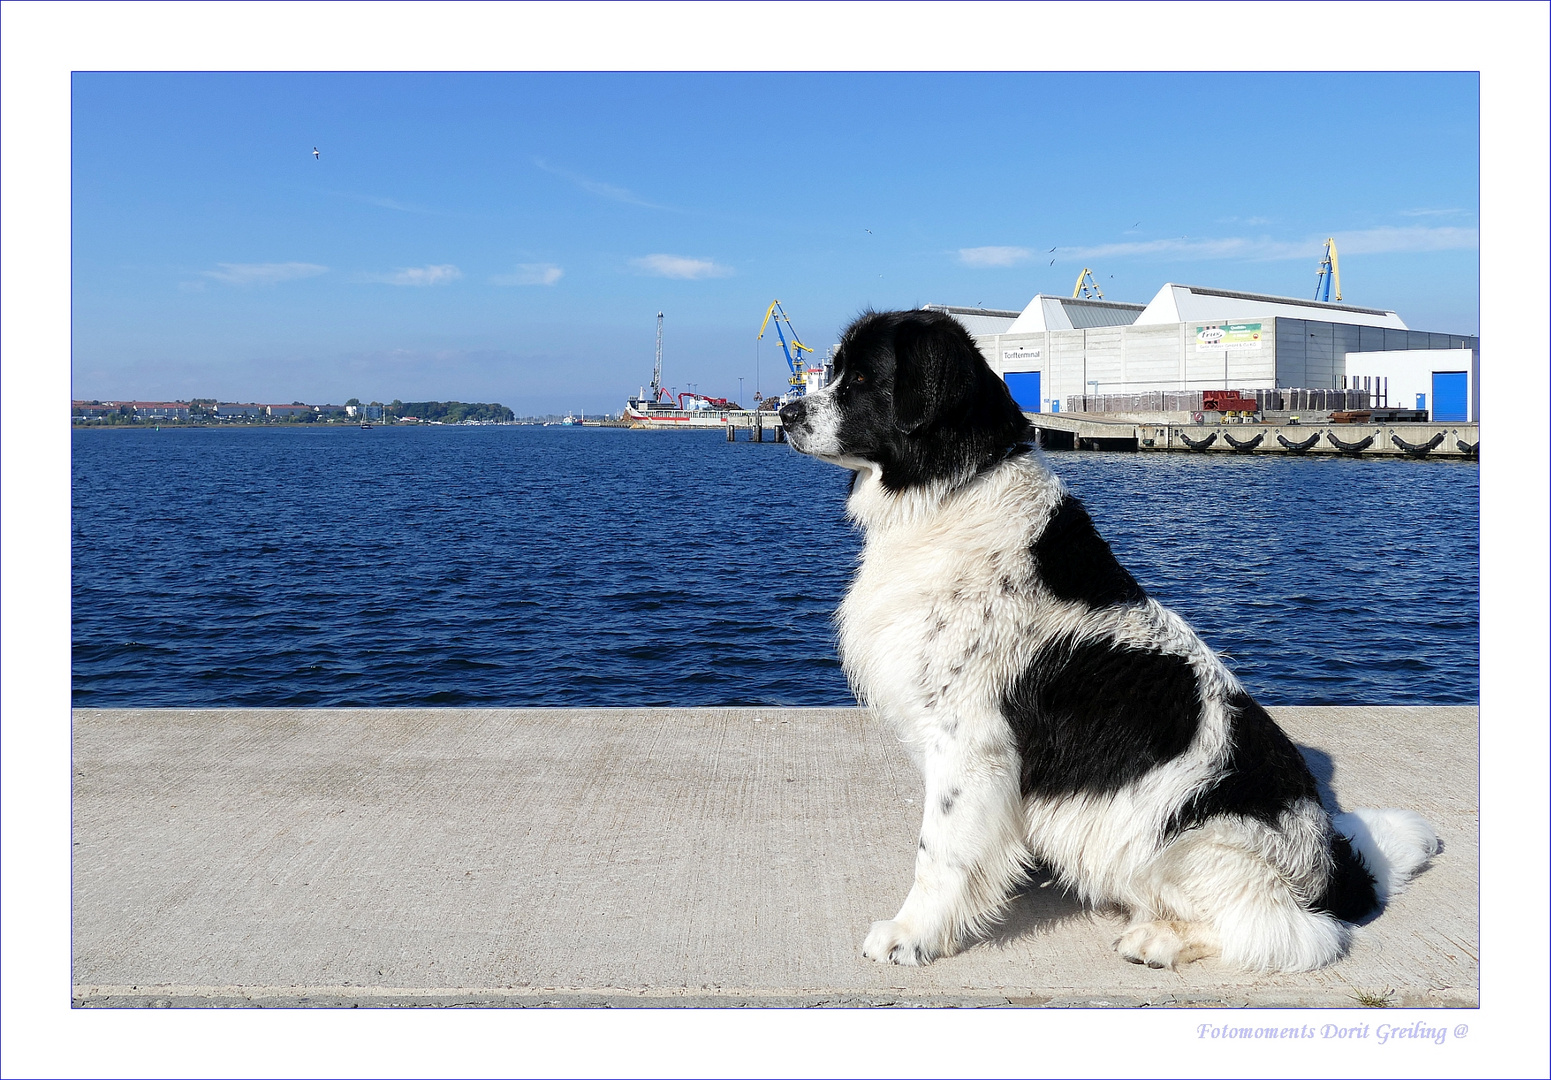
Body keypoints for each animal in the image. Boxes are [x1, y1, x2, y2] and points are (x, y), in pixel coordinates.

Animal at [781, 310, 1433, 968]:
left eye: (861, 379)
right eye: (832, 371)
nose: (784, 412)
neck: (952, 488)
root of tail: (1339, 874)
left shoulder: (968, 737)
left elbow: (939, 851)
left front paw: (911, 934)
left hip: (1192, 840)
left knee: (1290, 932)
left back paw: (1159, 939)